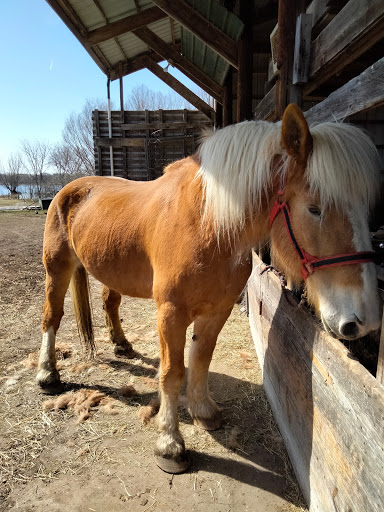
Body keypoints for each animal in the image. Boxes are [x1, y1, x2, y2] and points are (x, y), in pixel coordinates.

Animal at [36, 105, 380, 476]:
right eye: (314, 208)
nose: (364, 319)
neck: (207, 224)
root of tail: (69, 189)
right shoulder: (171, 313)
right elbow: (172, 373)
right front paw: (169, 444)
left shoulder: (218, 310)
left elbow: (201, 358)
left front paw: (203, 411)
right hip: (57, 268)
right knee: (52, 317)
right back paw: (47, 375)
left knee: (109, 303)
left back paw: (122, 345)